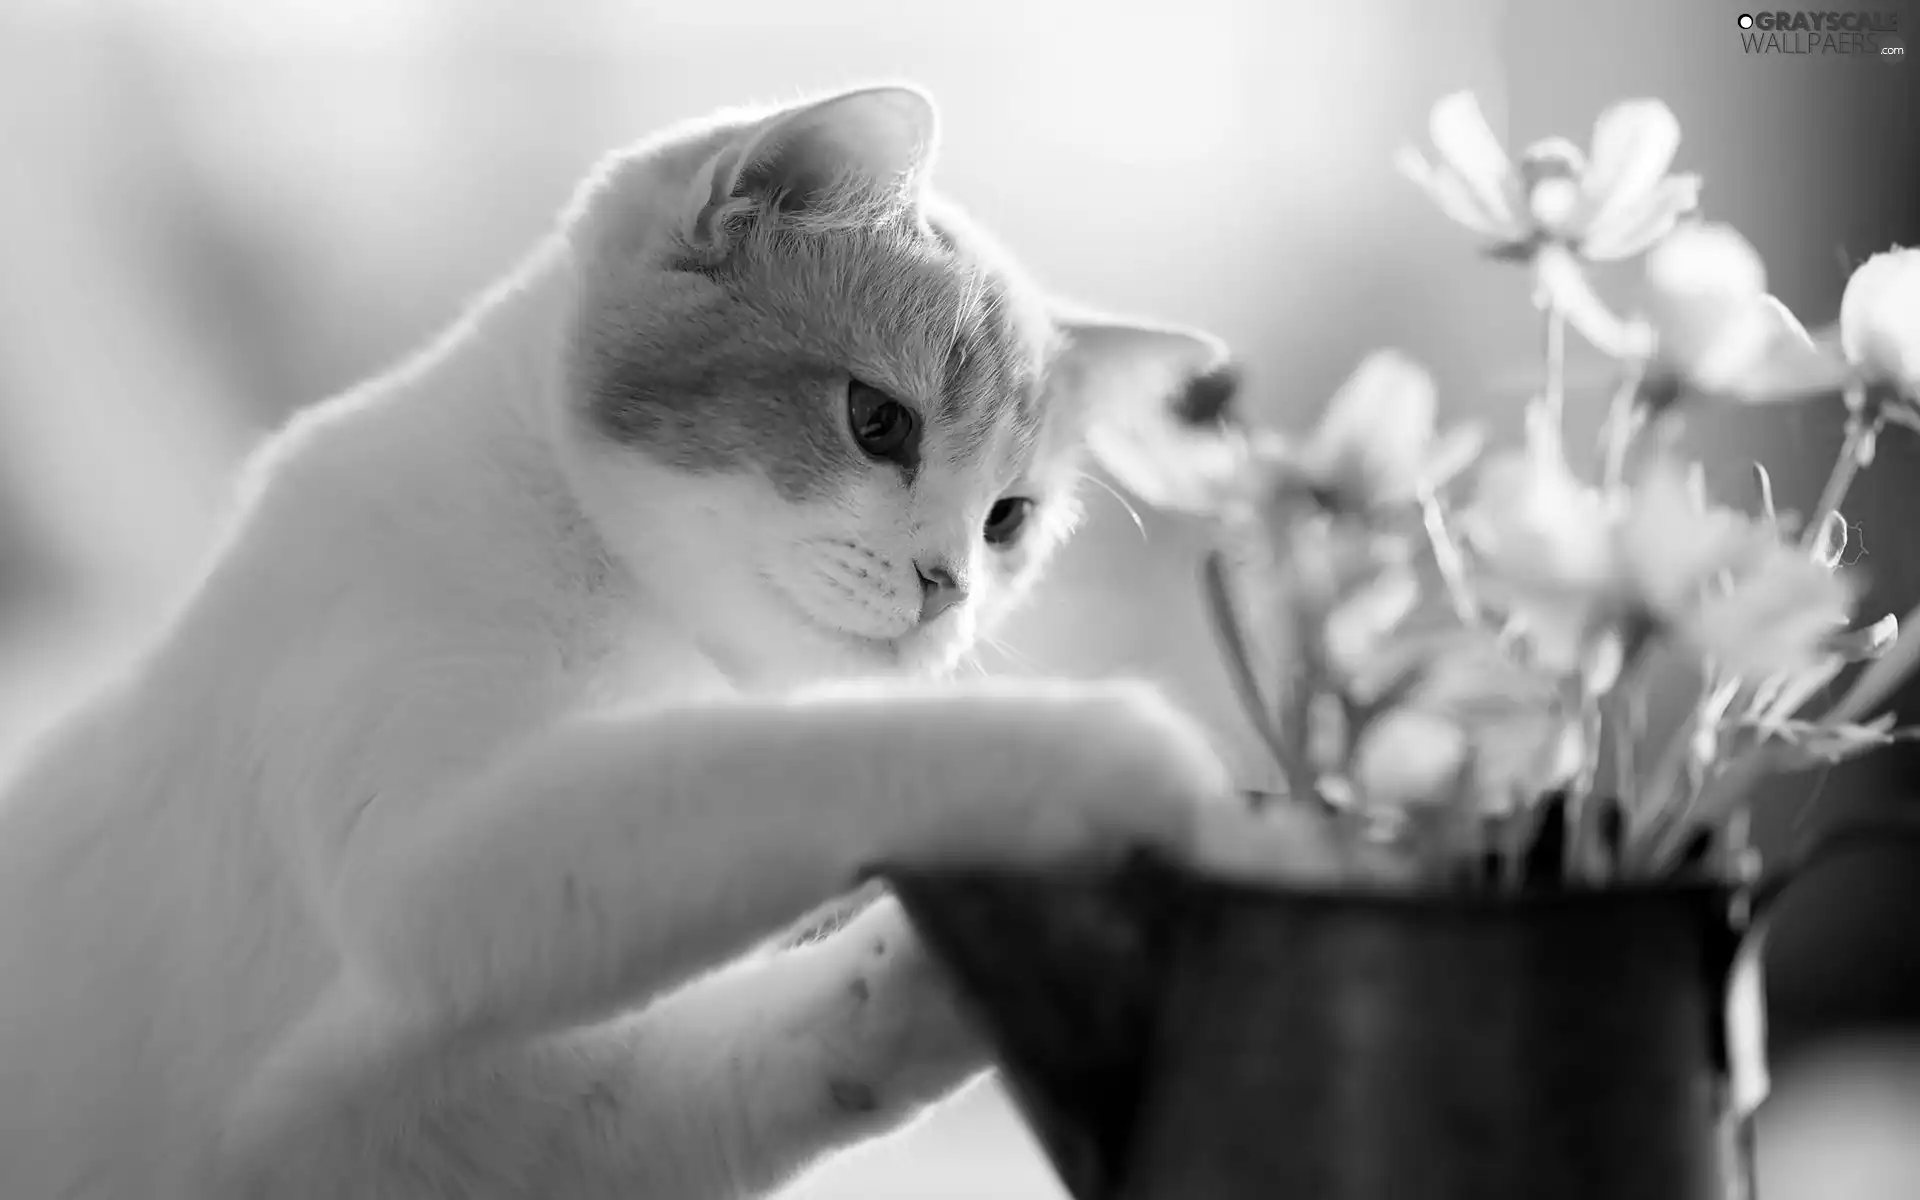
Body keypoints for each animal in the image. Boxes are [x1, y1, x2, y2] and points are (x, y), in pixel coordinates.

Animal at [0, 84, 1313, 1198]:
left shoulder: (488, 1127)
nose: (948, 587)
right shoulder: (442, 873)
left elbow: (780, 1058)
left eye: (1009, 522)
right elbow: (773, 768)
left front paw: (951, 974)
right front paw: (1104, 757)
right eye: (877, 422)